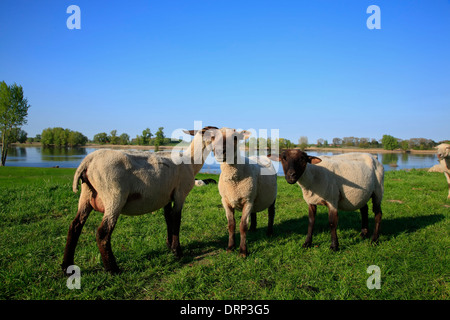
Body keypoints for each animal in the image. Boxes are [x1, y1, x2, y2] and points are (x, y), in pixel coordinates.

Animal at [62, 125, 220, 272]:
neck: (191, 162)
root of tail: (89, 160)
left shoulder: (167, 196)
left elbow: (168, 219)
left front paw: (169, 246)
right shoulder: (180, 194)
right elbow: (176, 220)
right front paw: (177, 251)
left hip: (86, 195)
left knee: (74, 226)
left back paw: (66, 266)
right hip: (113, 195)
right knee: (103, 233)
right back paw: (113, 269)